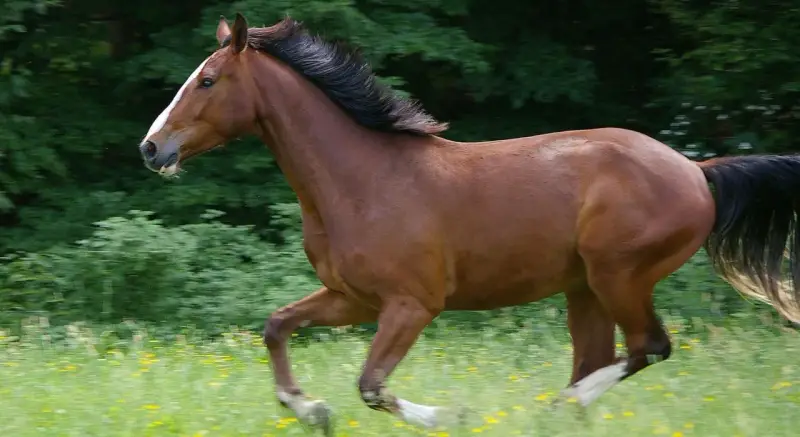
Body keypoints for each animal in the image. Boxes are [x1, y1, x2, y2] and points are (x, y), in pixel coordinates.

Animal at [137, 13, 800, 435]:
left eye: (207, 80)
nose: (151, 149)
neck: (362, 181)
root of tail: (695, 170)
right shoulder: (352, 299)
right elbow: (276, 327)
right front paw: (312, 411)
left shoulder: (412, 304)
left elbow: (372, 386)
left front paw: (451, 416)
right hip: (584, 289)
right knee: (604, 359)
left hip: (619, 276)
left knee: (648, 348)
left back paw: (549, 409)